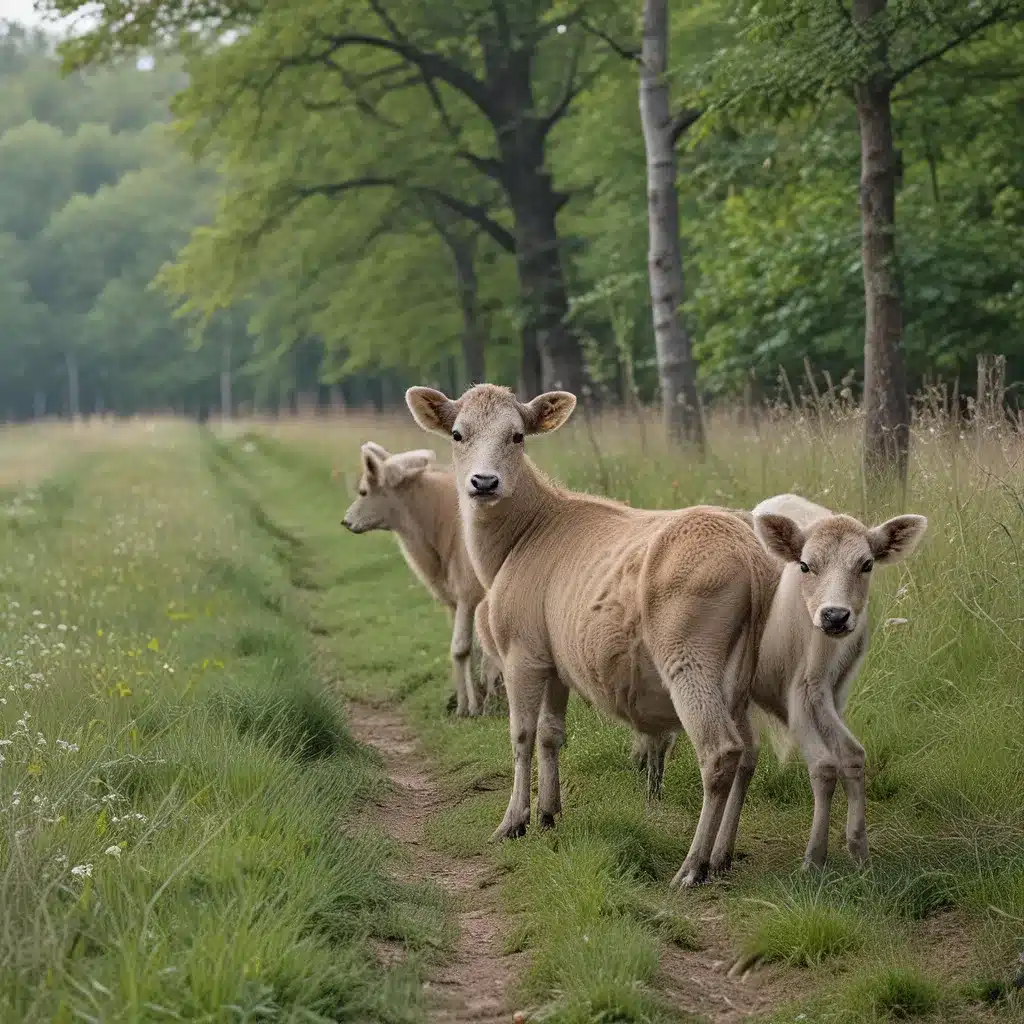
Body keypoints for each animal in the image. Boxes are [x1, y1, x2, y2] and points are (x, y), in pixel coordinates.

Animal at [342, 444, 501, 716]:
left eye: (363, 491)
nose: (346, 521)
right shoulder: (456, 602)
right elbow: (466, 651)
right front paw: (466, 702)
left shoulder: (468, 597)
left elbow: (461, 648)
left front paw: (470, 707)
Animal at [405, 385, 929, 888]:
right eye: (458, 434)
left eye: (517, 436)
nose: (484, 483)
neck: (522, 534)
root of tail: (748, 547)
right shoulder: (555, 661)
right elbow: (553, 735)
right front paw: (550, 814)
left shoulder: (522, 654)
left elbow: (521, 734)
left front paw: (514, 821)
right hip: (742, 676)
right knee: (748, 755)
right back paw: (723, 857)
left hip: (689, 659)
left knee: (721, 753)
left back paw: (694, 866)